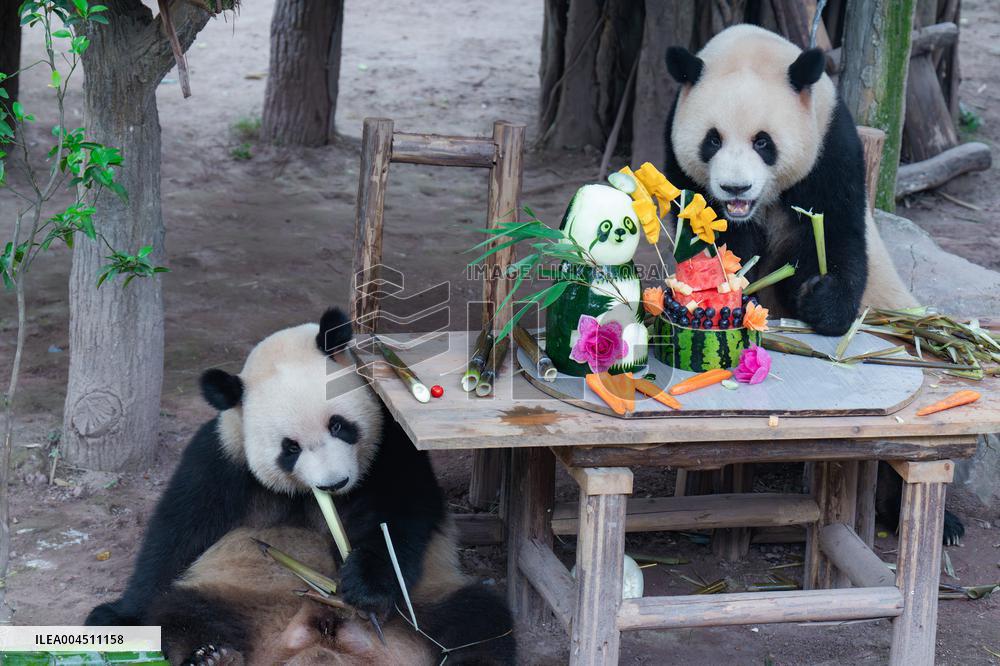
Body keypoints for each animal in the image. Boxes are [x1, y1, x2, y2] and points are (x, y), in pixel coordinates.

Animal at [85, 307, 516, 665]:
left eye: (339, 425)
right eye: (289, 448)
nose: (335, 482)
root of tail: (314, 636)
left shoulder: (390, 444)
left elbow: (399, 516)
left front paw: (366, 586)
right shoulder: (222, 459)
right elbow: (176, 534)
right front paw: (120, 615)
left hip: (430, 602)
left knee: (478, 620)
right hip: (230, 591)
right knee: (178, 611)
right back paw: (212, 655)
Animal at [663, 25, 963, 544]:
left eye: (764, 142)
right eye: (712, 140)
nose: (735, 189)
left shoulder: (831, 148)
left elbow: (839, 235)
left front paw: (819, 299)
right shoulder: (681, 169)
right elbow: (702, 243)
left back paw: (942, 525)